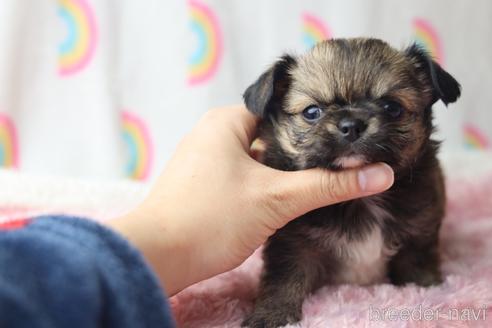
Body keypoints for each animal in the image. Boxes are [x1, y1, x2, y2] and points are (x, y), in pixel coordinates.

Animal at [242, 39, 462, 328]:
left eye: (392, 108)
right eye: (312, 112)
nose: (351, 125)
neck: (361, 200)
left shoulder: (419, 232)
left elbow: (417, 268)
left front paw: (429, 292)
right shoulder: (292, 242)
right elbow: (284, 278)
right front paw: (271, 315)